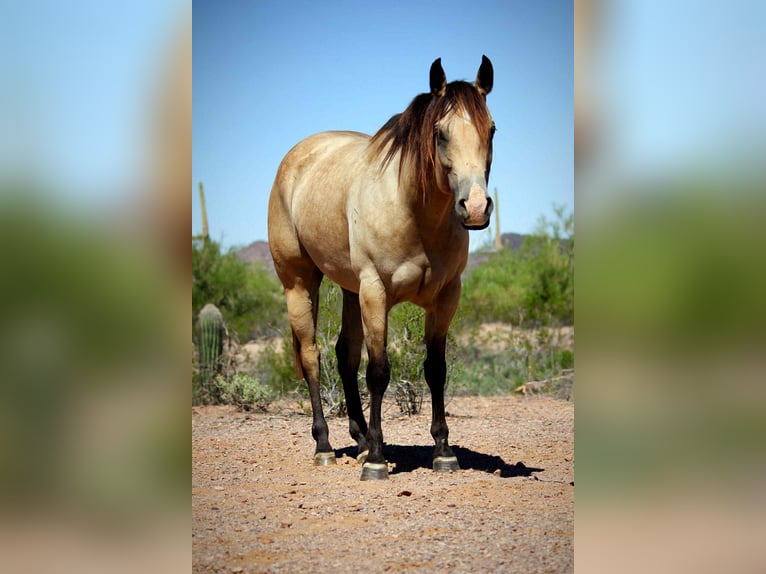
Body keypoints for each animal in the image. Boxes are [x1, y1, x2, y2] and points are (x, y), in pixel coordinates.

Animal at [268, 55, 495, 480]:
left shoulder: (446, 297)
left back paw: (359, 440)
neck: (413, 213)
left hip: (349, 289)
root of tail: (297, 157)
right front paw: (376, 461)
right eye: (440, 133)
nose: (474, 208)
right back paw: (325, 445)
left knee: (344, 354)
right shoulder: (375, 292)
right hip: (300, 283)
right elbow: (378, 371)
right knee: (312, 356)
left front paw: (443, 451)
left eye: (491, 129)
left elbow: (435, 369)